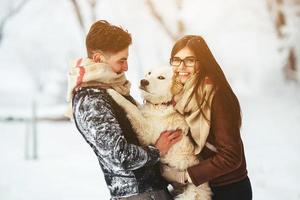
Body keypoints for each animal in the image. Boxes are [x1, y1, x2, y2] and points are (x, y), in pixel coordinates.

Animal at [107, 67, 211, 200]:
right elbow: (137, 106)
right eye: (149, 73)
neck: (159, 105)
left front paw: (112, 92)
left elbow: (132, 107)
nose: (143, 81)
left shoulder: (146, 133)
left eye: (161, 77)